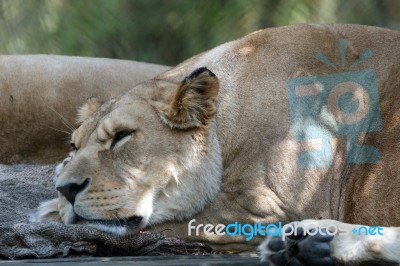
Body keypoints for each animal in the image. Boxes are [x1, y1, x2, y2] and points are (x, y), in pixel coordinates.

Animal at [32, 24, 400, 264]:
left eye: (122, 136)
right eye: (74, 146)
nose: (66, 189)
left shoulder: (267, 209)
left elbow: (174, 223)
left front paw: (48, 213)